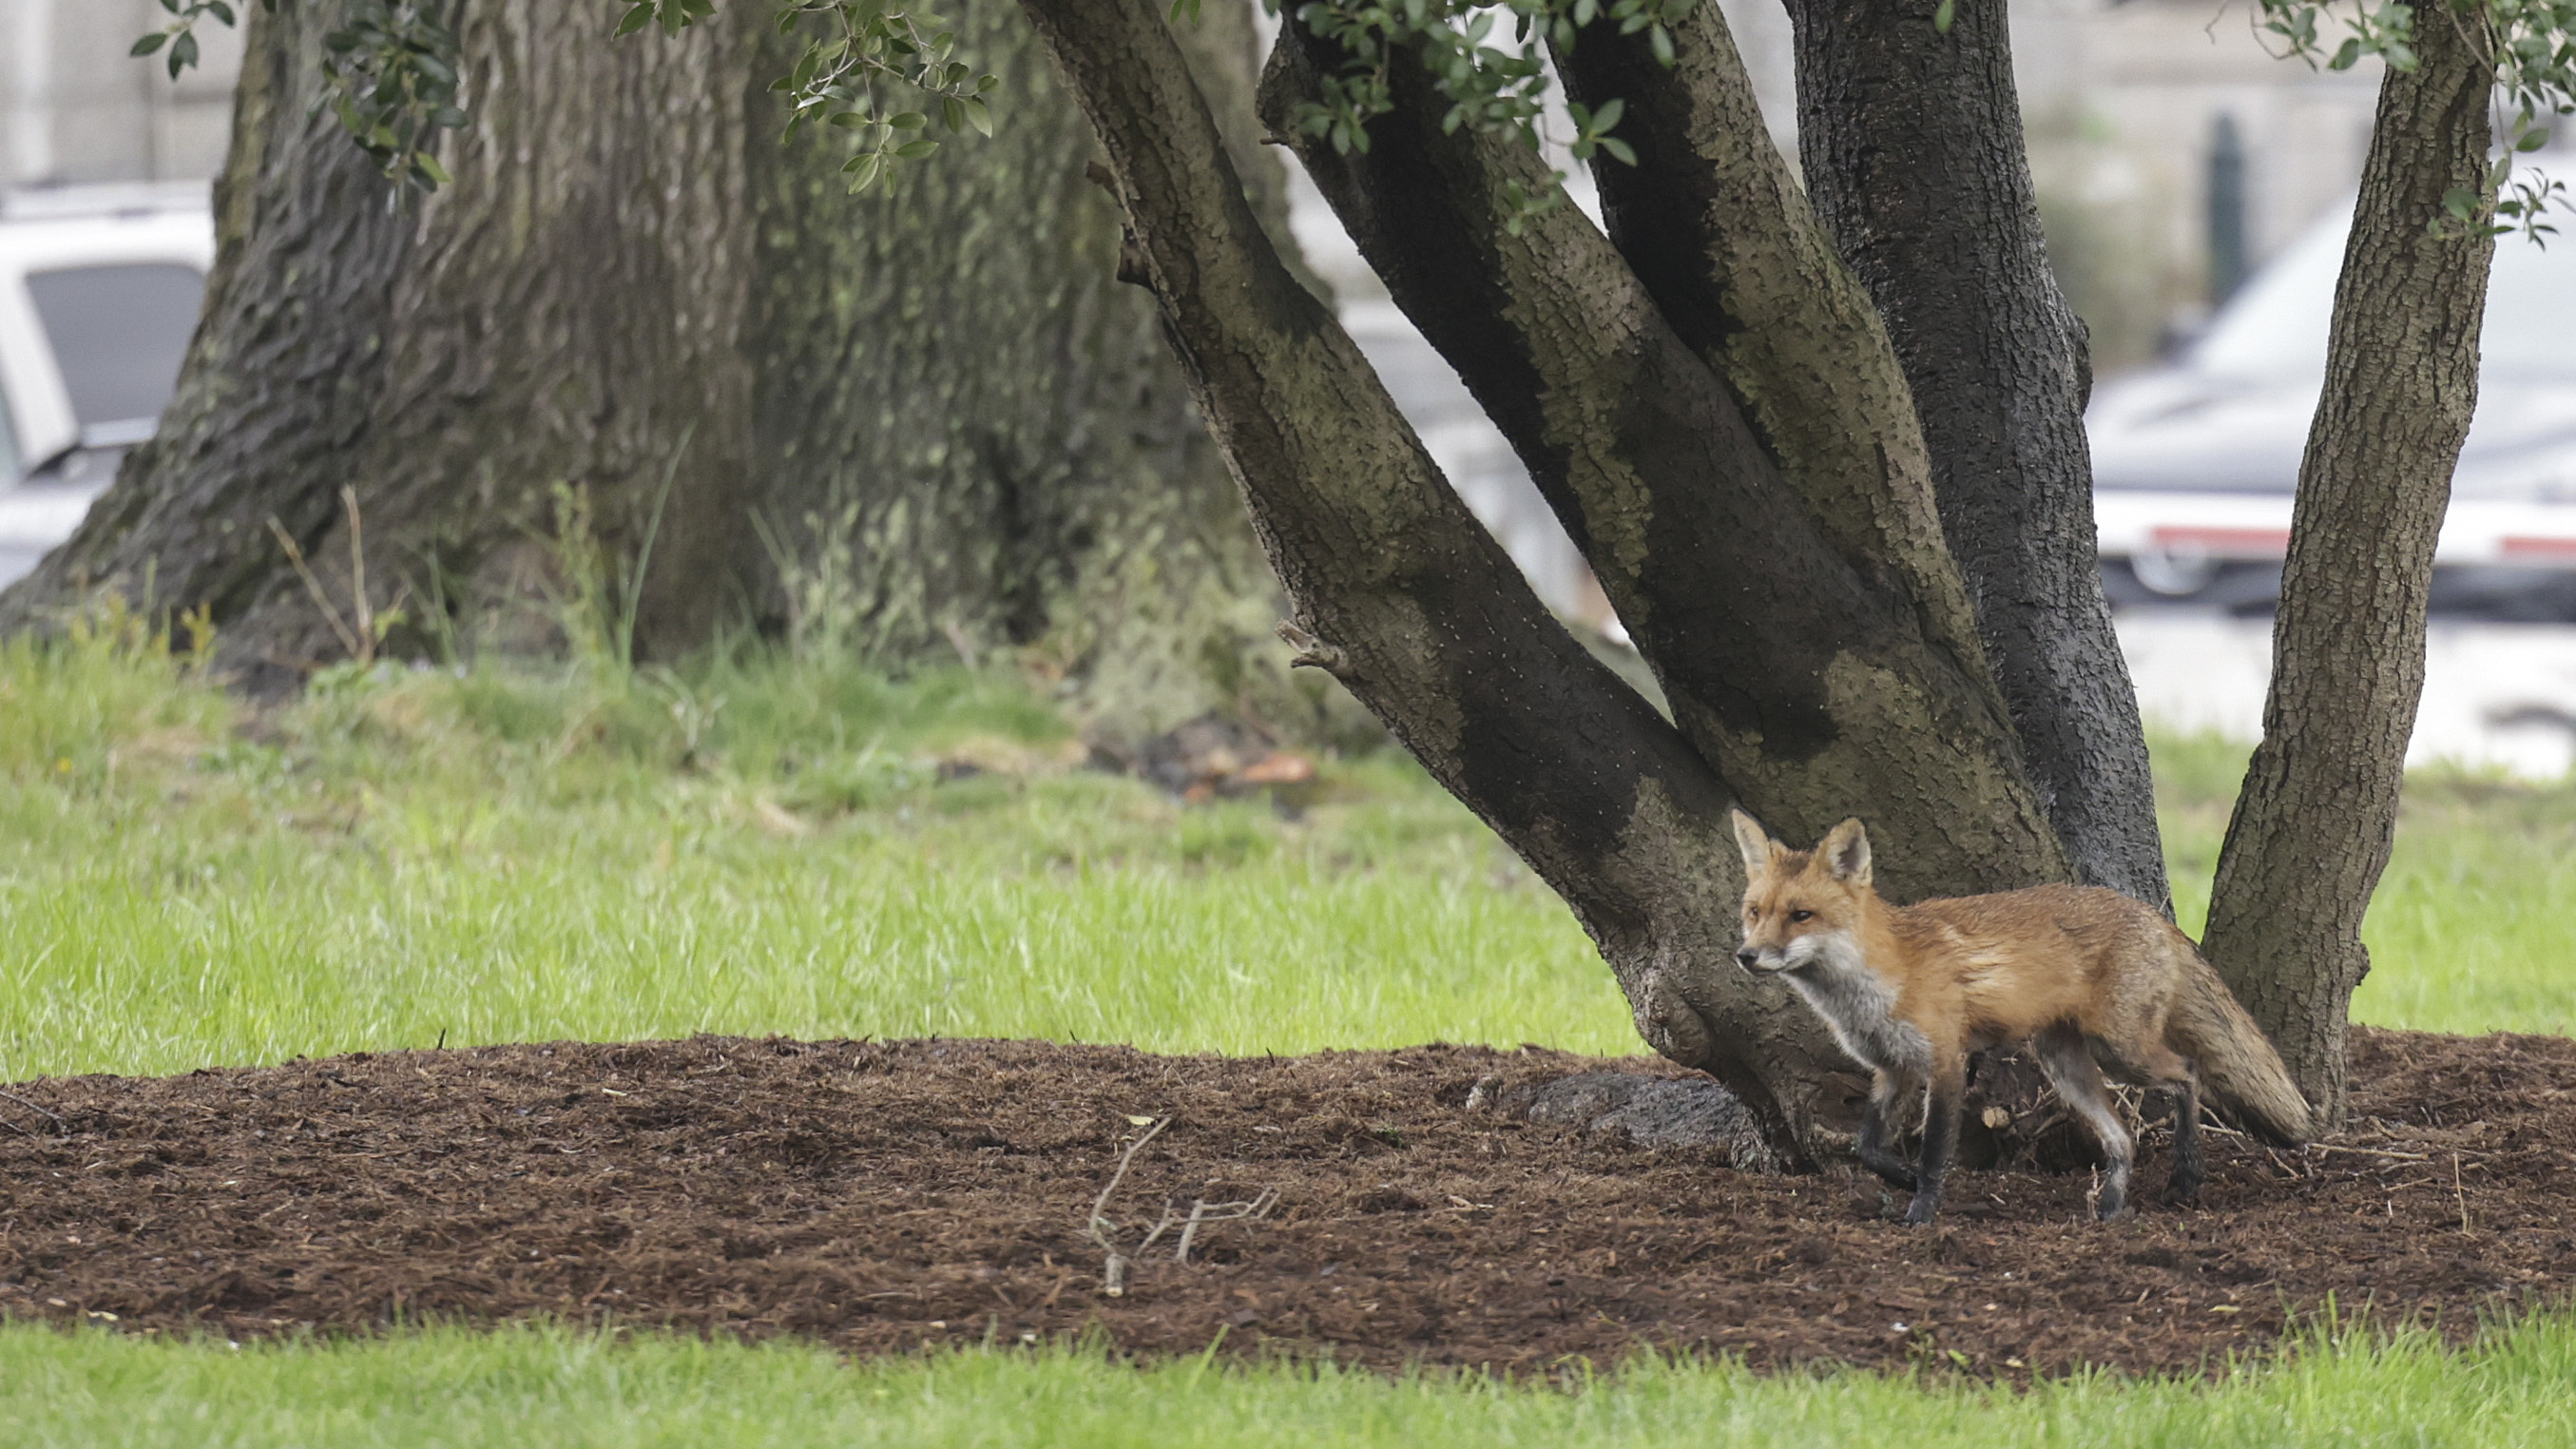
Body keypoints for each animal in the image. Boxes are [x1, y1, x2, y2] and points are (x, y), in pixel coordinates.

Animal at [1731, 804, 2318, 1222]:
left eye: (1801, 915)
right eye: (1754, 912)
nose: (1746, 956)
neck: (1876, 979)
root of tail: (2153, 915)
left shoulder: (1945, 1061)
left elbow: (1934, 1152)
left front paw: (1921, 1213)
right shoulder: (1892, 1068)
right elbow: (1867, 1147)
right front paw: (1901, 1179)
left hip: (2121, 1051)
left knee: (2188, 1074)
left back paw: (2186, 1178)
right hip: (2067, 1066)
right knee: (2122, 1138)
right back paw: (2111, 1209)